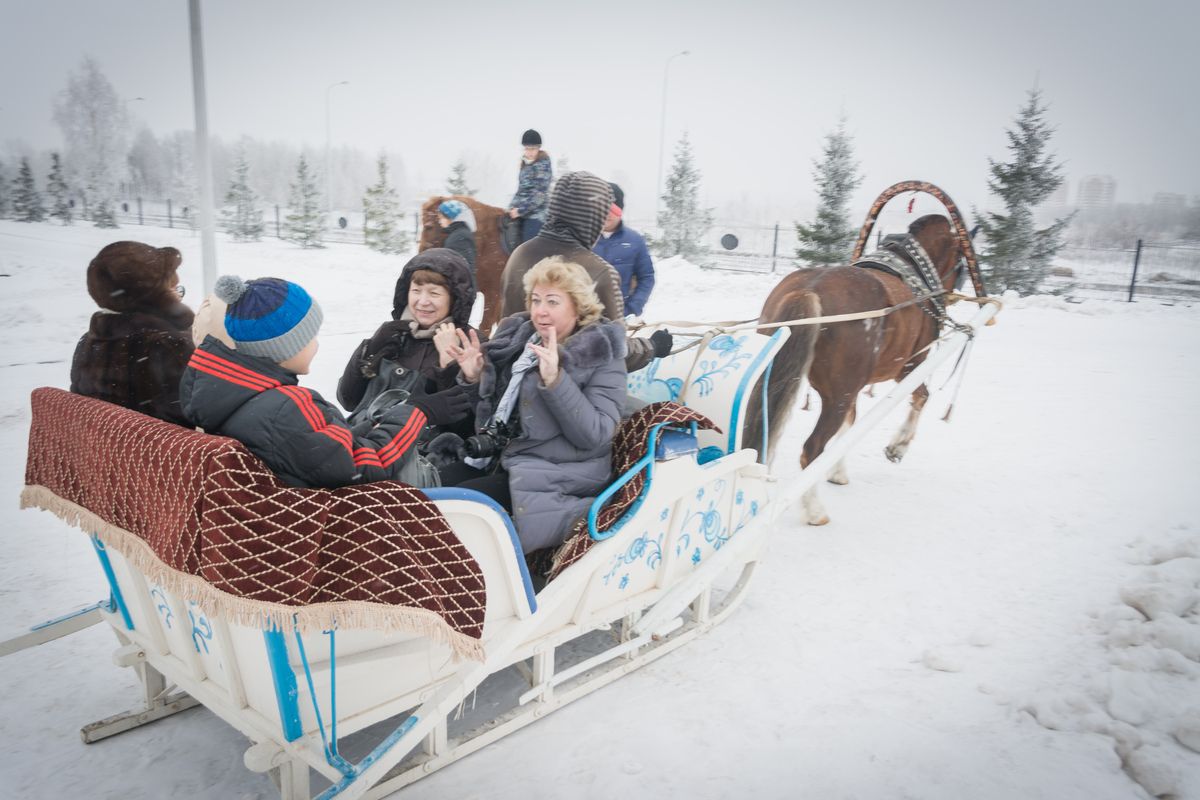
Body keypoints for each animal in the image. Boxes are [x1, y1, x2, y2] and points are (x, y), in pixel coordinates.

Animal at [748, 212, 974, 525]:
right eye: (961, 256)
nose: (950, 295)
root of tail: (809, 289)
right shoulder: (910, 366)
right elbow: (921, 396)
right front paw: (897, 447)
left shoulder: (855, 387)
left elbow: (850, 426)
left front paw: (838, 472)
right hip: (838, 395)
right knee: (812, 448)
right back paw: (815, 510)